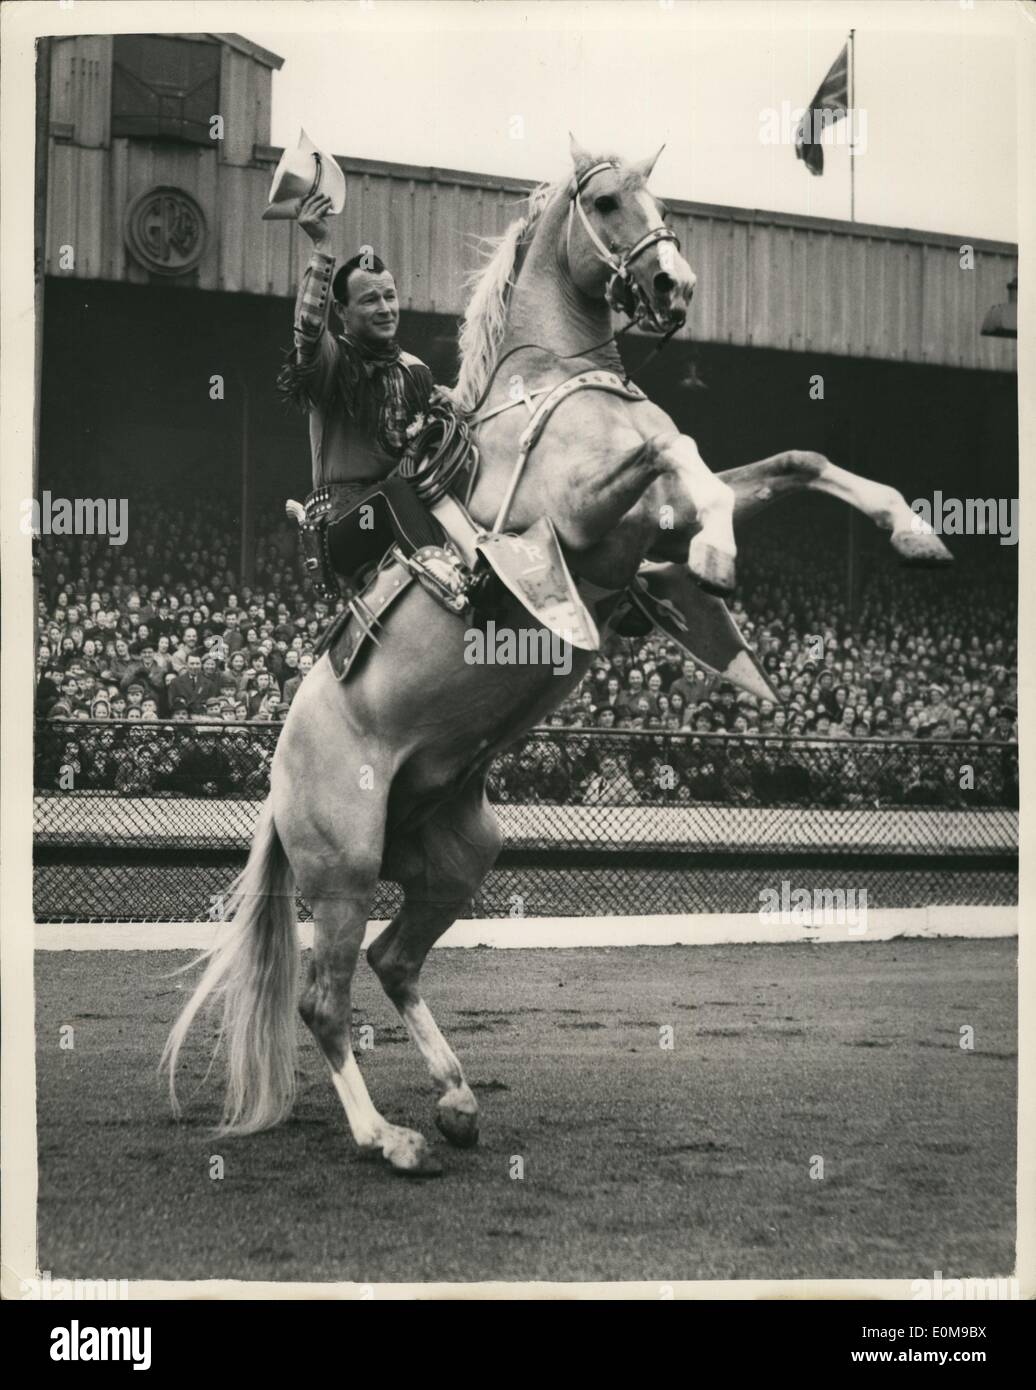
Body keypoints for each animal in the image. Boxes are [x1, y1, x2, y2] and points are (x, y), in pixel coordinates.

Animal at [163, 136, 950, 1175]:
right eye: (609, 202)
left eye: (658, 200)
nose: (674, 285)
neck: (553, 382)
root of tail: (279, 773)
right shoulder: (581, 519)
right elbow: (675, 446)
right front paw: (718, 554)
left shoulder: (641, 533)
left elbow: (792, 460)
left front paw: (912, 531)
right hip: (344, 864)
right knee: (324, 1000)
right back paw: (390, 1138)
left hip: (459, 851)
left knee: (392, 961)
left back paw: (457, 1101)